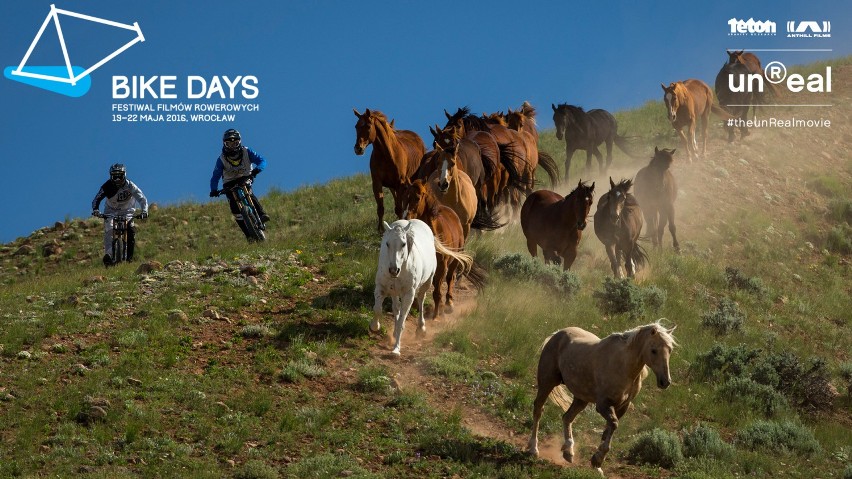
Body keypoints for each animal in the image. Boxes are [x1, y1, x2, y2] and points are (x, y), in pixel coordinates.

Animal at [372, 219, 472, 354]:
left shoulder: (409, 294)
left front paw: (396, 349)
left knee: (420, 300)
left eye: (403, 244)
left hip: (426, 283)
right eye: (387, 243)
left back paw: (421, 329)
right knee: (396, 307)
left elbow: (402, 320)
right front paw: (375, 326)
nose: (393, 270)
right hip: (395, 291)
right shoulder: (380, 288)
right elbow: (377, 309)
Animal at [404, 180, 486, 318]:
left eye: (417, 197)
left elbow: (438, 290)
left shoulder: (442, 265)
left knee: (450, 278)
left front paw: (436, 314)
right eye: (405, 196)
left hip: (454, 261)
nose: (406, 217)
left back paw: (449, 304)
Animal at [528, 320, 676, 474]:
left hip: (581, 398)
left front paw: (597, 463)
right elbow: (613, 425)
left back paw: (568, 451)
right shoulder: (603, 405)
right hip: (547, 382)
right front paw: (598, 459)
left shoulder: (622, 406)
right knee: (538, 410)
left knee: (567, 417)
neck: (623, 366)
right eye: (653, 350)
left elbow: (608, 430)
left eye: (670, 350)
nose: (665, 381)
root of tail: (557, 333)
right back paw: (533, 449)